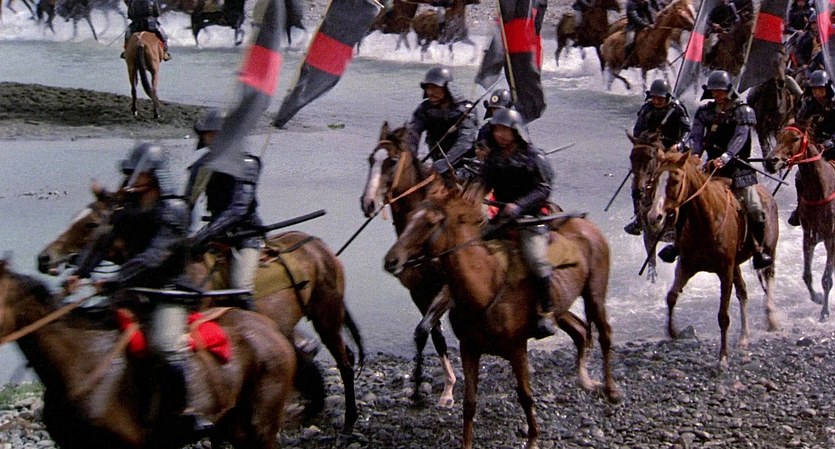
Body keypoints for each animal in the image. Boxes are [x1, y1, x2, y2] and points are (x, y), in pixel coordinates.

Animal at [36, 188, 365, 433]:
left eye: (91, 224)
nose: (44, 258)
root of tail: (322, 249)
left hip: (326, 317)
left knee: (344, 361)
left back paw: (348, 421)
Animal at [383, 178, 620, 449]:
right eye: (412, 217)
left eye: (431, 222)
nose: (391, 260)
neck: (485, 286)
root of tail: (588, 226)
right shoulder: (469, 349)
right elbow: (469, 402)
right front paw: (466, 443)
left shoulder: (517, 349)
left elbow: (526, 396)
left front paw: (533, 439)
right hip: (561, 308)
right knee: (580, 330)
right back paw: (585, 380)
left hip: (594, 294)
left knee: (604, 334)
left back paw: (611, 390)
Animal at [645, 152, 779, 366]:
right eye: (655, 180)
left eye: (675, 180)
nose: (654, 217)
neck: (706, 222)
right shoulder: (686, 266)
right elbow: (671, 296)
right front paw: (673, 332)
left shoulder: (725, 271)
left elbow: (723, 316)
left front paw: (722, 357)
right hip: (736, 266)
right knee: (743, 292)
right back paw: (744, 337)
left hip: (767, 252)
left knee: (768, 278)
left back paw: (772, 318)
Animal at [766, 125, 835, 321]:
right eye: (778, 136)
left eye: (796, 138)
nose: (771, 162)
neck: (821, 190)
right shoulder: (809, 237)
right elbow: (807, 275)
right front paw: (817, 298)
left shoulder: (831, 240)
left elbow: (826, 279)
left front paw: (825, 312)